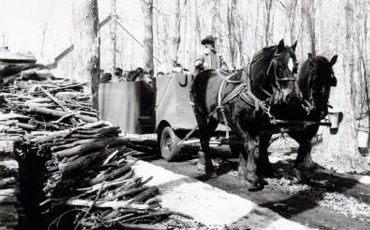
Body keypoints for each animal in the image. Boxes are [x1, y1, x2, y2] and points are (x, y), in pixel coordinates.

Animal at [191, 40, 300, 190]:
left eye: (296, 66)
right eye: (280, 66)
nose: (291, 96)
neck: (249, 90)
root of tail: (201, 74)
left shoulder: (255, 125)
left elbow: (248, 146)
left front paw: (243, 174)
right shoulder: (235, 122)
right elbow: (250, 145)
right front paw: (251, 176)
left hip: (213, 119)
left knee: (206, 138)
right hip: (200, 115)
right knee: (203, 139)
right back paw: (209, 168)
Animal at [258, 53, 338, 182]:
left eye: (331, 82)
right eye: (314, 80)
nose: (321, 111)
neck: (301, 105)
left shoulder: (312, 128)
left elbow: (306, 145)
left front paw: (303, 168)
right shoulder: (291, 127)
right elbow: (305, 144)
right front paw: (299, 169)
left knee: (263, 143)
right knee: (262, 142)